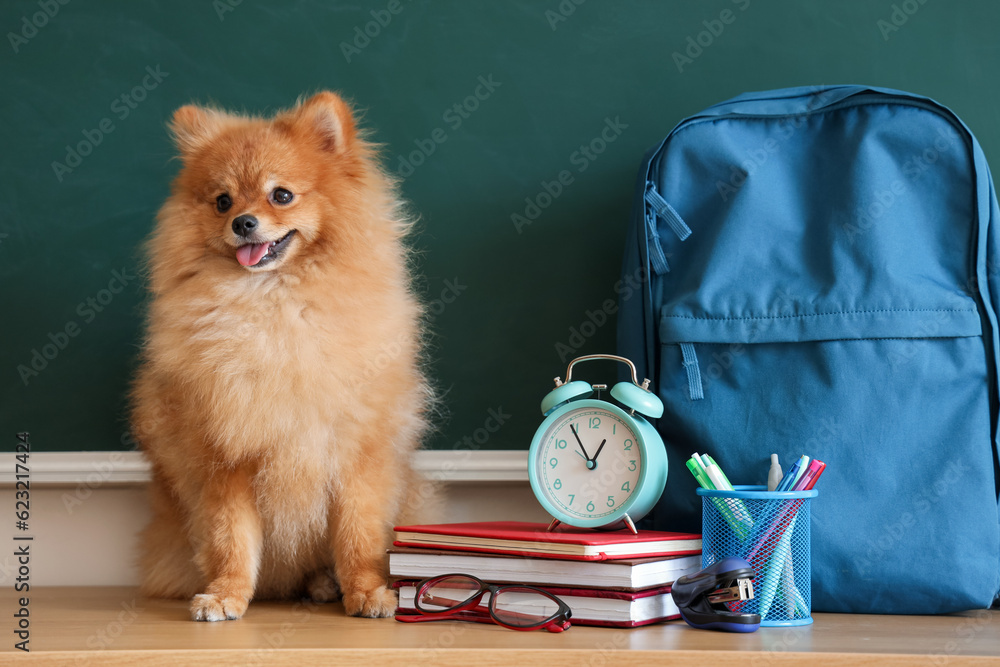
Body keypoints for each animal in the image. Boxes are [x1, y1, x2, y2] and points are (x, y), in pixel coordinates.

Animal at [132, 92, 430, 620]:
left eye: (282, 195)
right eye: (223, 201)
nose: (242, 222)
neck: (274, 309)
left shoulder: (356, 451)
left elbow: (358, 532)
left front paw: (367, 591)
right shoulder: (222, 457)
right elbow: (231, 537)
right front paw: (227, 594)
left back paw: (326, 584)